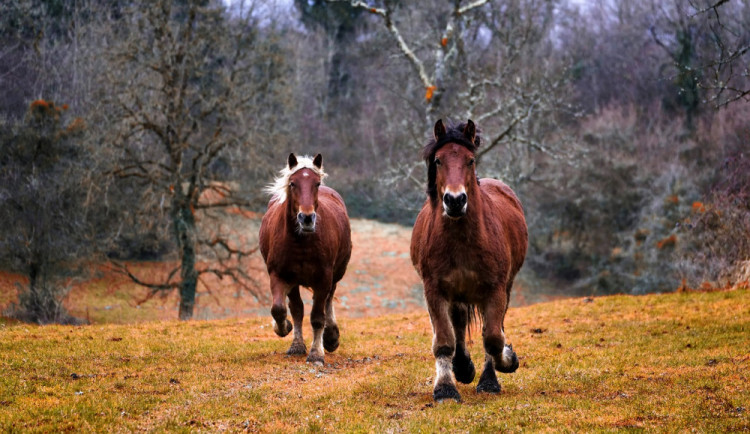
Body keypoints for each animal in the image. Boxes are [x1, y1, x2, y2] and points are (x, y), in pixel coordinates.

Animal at [260, 154, 354, 364]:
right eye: (292, 183)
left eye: (316, 183)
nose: (307, 218)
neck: (301, 242)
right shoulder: (279, 275)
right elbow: (280, 309)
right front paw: (285, 329)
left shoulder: (323, 278)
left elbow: (317, 317)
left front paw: (316, 353)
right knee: (297, 308)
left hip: (335, 275)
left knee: (328, 300)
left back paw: (331, 337)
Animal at [412, 119, 528, 404]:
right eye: (439, 160)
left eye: (470, 160)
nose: (455, 201)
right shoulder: (435, 290)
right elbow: (444, 340)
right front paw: (445, 388)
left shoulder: (495, 290)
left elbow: (494, 337)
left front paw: (505, 364)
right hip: (457, 294)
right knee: (459, 324)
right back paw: (462, 367)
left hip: (503, 288)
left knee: (491, 328)